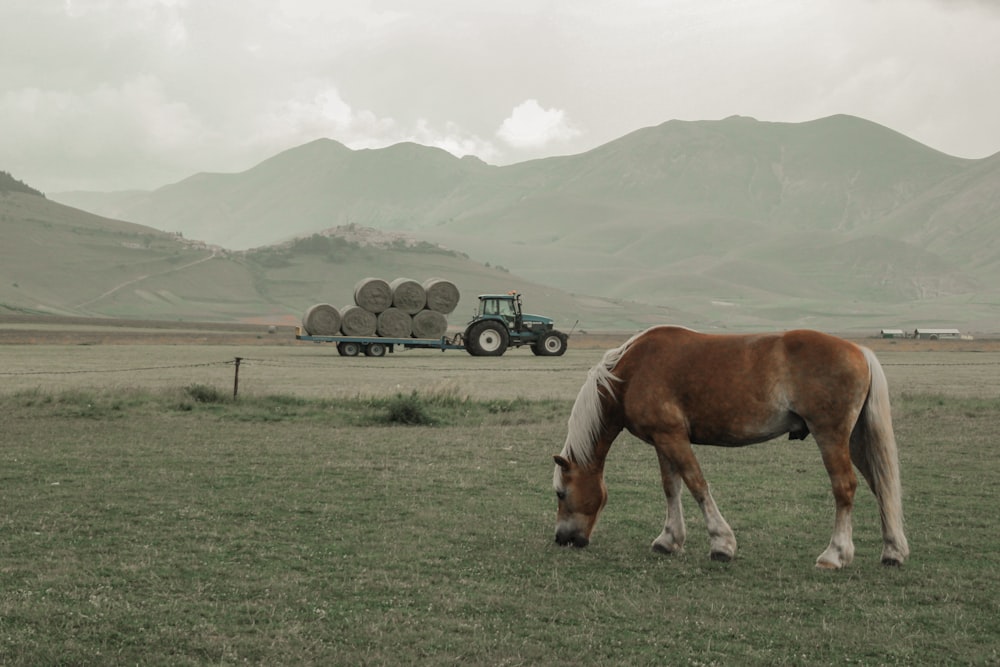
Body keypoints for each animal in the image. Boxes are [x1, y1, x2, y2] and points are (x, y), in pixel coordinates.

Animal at [552, 324, 912, 568]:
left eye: (560, 493)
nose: (561, 539)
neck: (631, 373)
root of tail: (859, 350)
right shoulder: (663, 440)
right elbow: (671, 487)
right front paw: (669, 539)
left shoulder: (672, 437)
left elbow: (696, 484)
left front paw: (721, 543)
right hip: (855, 439)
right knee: (880, 486)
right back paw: (893, 550)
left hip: (831, 437)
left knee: (845, 488)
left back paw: (835, 554)